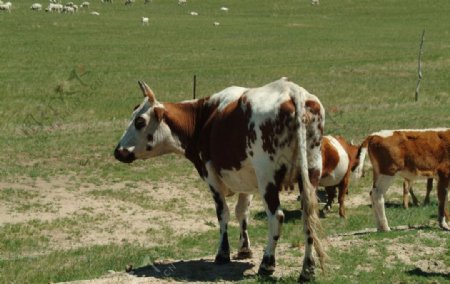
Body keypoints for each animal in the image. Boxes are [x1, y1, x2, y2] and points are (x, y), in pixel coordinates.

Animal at [115, 78, 326, 282]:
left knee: (277, 216)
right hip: (311, 172)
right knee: (308, 216)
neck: (203, 117)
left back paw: (267, 264)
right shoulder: (246, 180)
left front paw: (223, 253)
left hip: (267, 178)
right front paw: (244, 248)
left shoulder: (211, 176)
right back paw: (307, 269)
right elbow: (242, 212)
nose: (118, 151)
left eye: (140, 121)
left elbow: (223, 213)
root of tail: (291, 91)